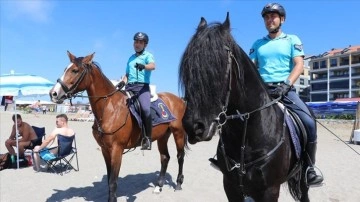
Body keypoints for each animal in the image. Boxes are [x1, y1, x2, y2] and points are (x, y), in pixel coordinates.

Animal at [49, 51, 188, 201]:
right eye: (65, 69)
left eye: (75, 70)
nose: (53, 93)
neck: (109, 108)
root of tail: (179, 100)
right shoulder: (105, 150)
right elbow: (109, 179)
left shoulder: (117, 150)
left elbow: (113, 182)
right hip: (163, 136)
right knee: (164, 157)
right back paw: (159, 186)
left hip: (178, 133)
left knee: (180, 156)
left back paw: (179, 183)